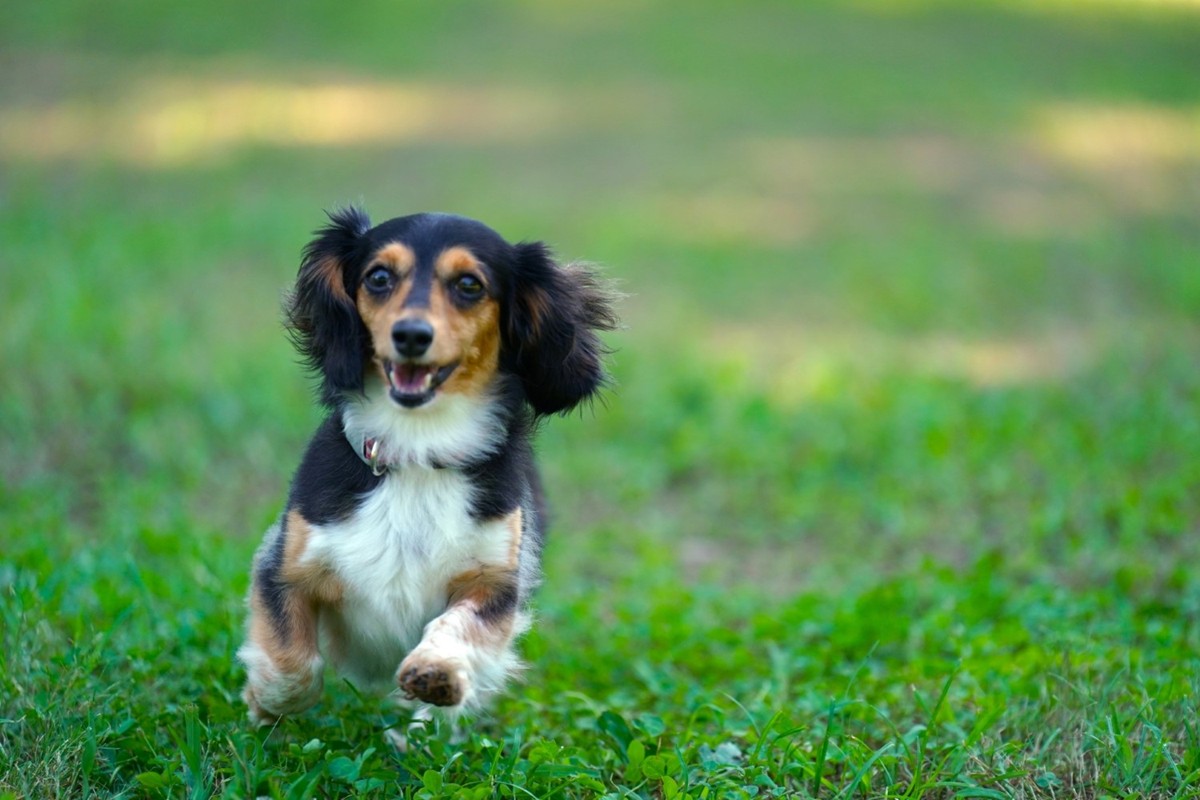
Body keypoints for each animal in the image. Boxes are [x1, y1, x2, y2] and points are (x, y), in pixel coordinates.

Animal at [240, 209, 624, 729]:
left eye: (469, 285)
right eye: (379, 277)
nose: (411, 335)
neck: (419, 452)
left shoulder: (497, 579)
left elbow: (461, 623)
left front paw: (438, 671)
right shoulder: (285, 563)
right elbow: (295, 666)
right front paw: (265, 700)